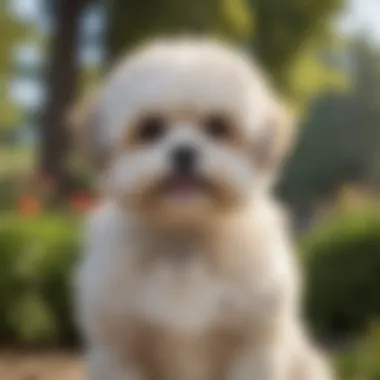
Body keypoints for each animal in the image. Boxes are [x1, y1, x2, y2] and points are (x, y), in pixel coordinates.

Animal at [72, 36, 332, 380]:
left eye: (218, 126)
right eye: (150, 128)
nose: (184, 152)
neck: (186, 238)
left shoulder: (252, 347)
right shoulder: (120, 350)